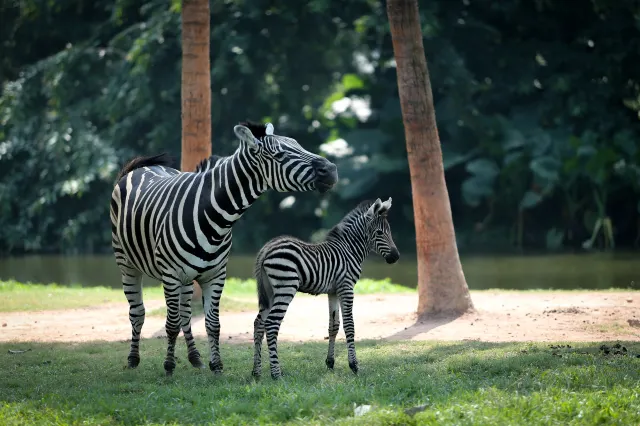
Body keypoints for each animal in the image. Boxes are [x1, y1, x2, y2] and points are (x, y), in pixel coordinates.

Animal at [110, 120, 340, 376]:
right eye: (280, 155)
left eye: (298, 145)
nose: (331, 170)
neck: (215, 216)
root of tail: (140, 168)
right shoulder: (170, 275)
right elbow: (170, 324)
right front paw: (169, 367)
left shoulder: (216, 275)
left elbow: (212, 323)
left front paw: (216, 366)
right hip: (127, 264)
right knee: (137, 312)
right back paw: (133, 359)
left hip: (187, 278)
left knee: (185, 315)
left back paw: (195, 358)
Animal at [251, 197, 398, 380]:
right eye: (379, 233)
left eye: (389, 231)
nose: (396, 257)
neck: (349, 250)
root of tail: (266, 248)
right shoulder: (346, 287)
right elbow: (349, 325)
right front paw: (354, 365)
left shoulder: (333, 291)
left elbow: (333, 326)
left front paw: (330, 363)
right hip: (286, 287)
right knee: (271, 324)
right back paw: (276, 374)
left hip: (270, 292)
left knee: (259, 324)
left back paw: (256, 372)